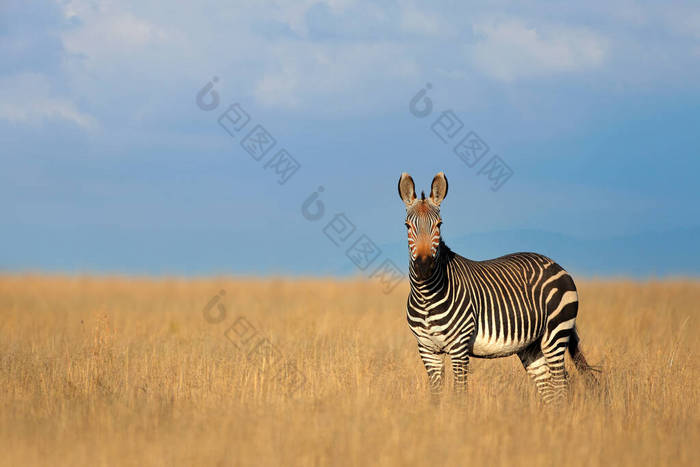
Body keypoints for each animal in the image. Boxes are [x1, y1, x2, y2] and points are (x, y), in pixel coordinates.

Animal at [400, 174, 596, 404]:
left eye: (439, 225)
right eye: (407, 226)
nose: (423, 267)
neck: (426, 297)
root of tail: (555, 264)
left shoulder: (459, 347)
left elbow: (459, 394)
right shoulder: (427, 350)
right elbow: (436, 397)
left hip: (555, 334)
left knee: (561, 386)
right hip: (532, 346)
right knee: (548, 389)